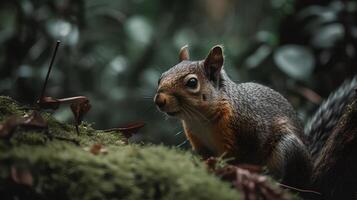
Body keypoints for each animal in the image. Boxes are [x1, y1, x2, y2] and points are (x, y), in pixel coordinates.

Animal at [153, 45, 356, 194]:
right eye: (160, 77)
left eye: (192, 83)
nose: (159, 100)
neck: (200, 120)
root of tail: (311, 168)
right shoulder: (199, 142)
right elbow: (204, 157)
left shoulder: (250, 128)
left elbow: (248, 153)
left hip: (288, 148)